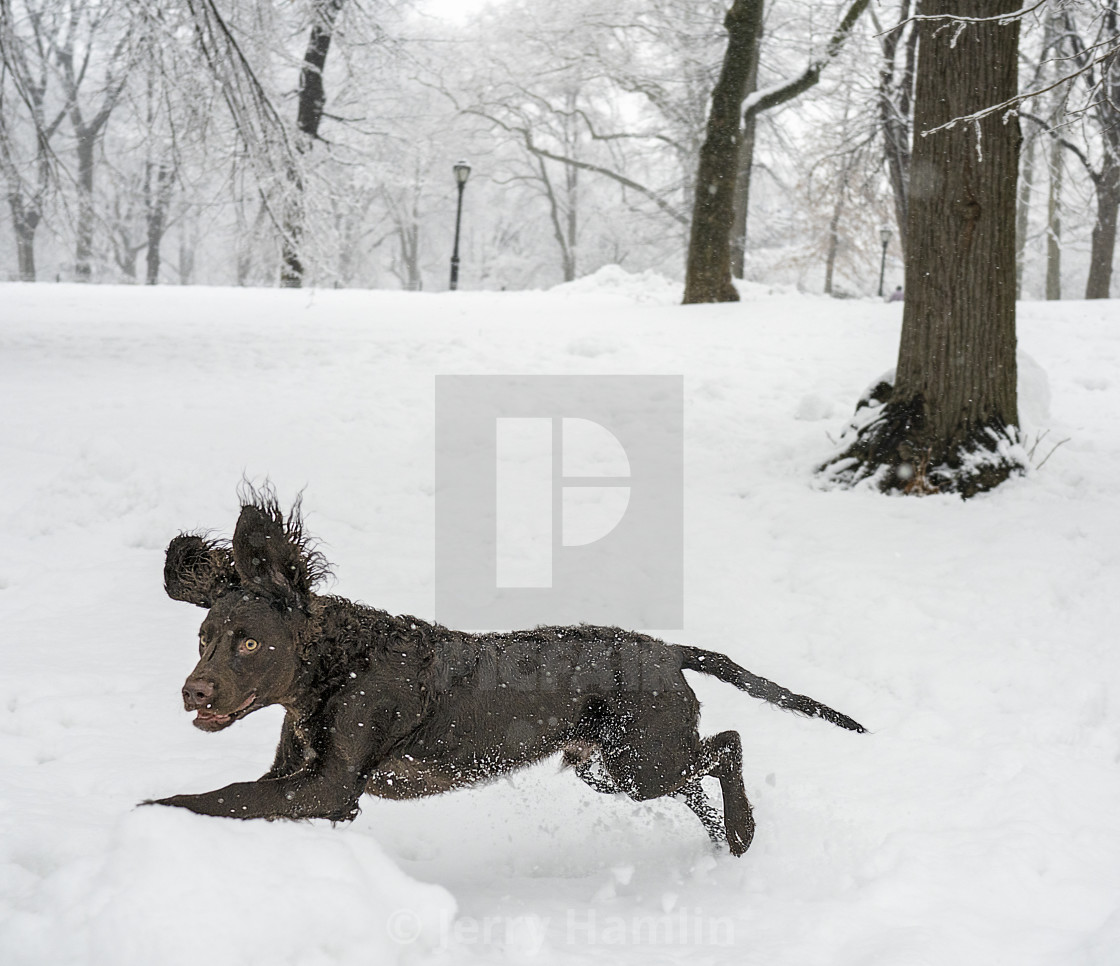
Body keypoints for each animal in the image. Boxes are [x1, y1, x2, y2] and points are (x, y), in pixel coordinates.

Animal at [148, 490, 864, 856]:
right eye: (204, 639)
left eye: (249, 644)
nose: (193, 690)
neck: (339, 665)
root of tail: (666, 650)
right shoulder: (295, 774)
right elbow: (246, 792)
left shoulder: (330, 787)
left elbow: (226, 797)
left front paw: (153, 810)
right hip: (615, 767)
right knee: (701, 772)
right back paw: (725, 840)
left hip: (640, 761)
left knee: (729, 745)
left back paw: (742, 831)